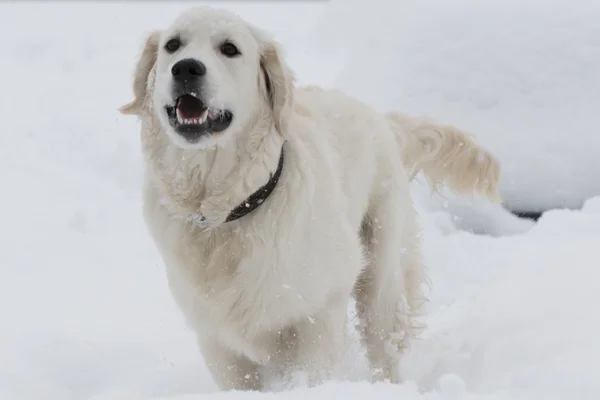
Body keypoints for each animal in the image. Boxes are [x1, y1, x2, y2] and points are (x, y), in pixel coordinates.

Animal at [119, 7, 500, 390]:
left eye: (229, 49)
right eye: (172, 45)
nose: (185, 68)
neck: (226, 211)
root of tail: (377, 116)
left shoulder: (318, 315)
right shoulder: (216, 338)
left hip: (381, 269)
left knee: (383, 345)